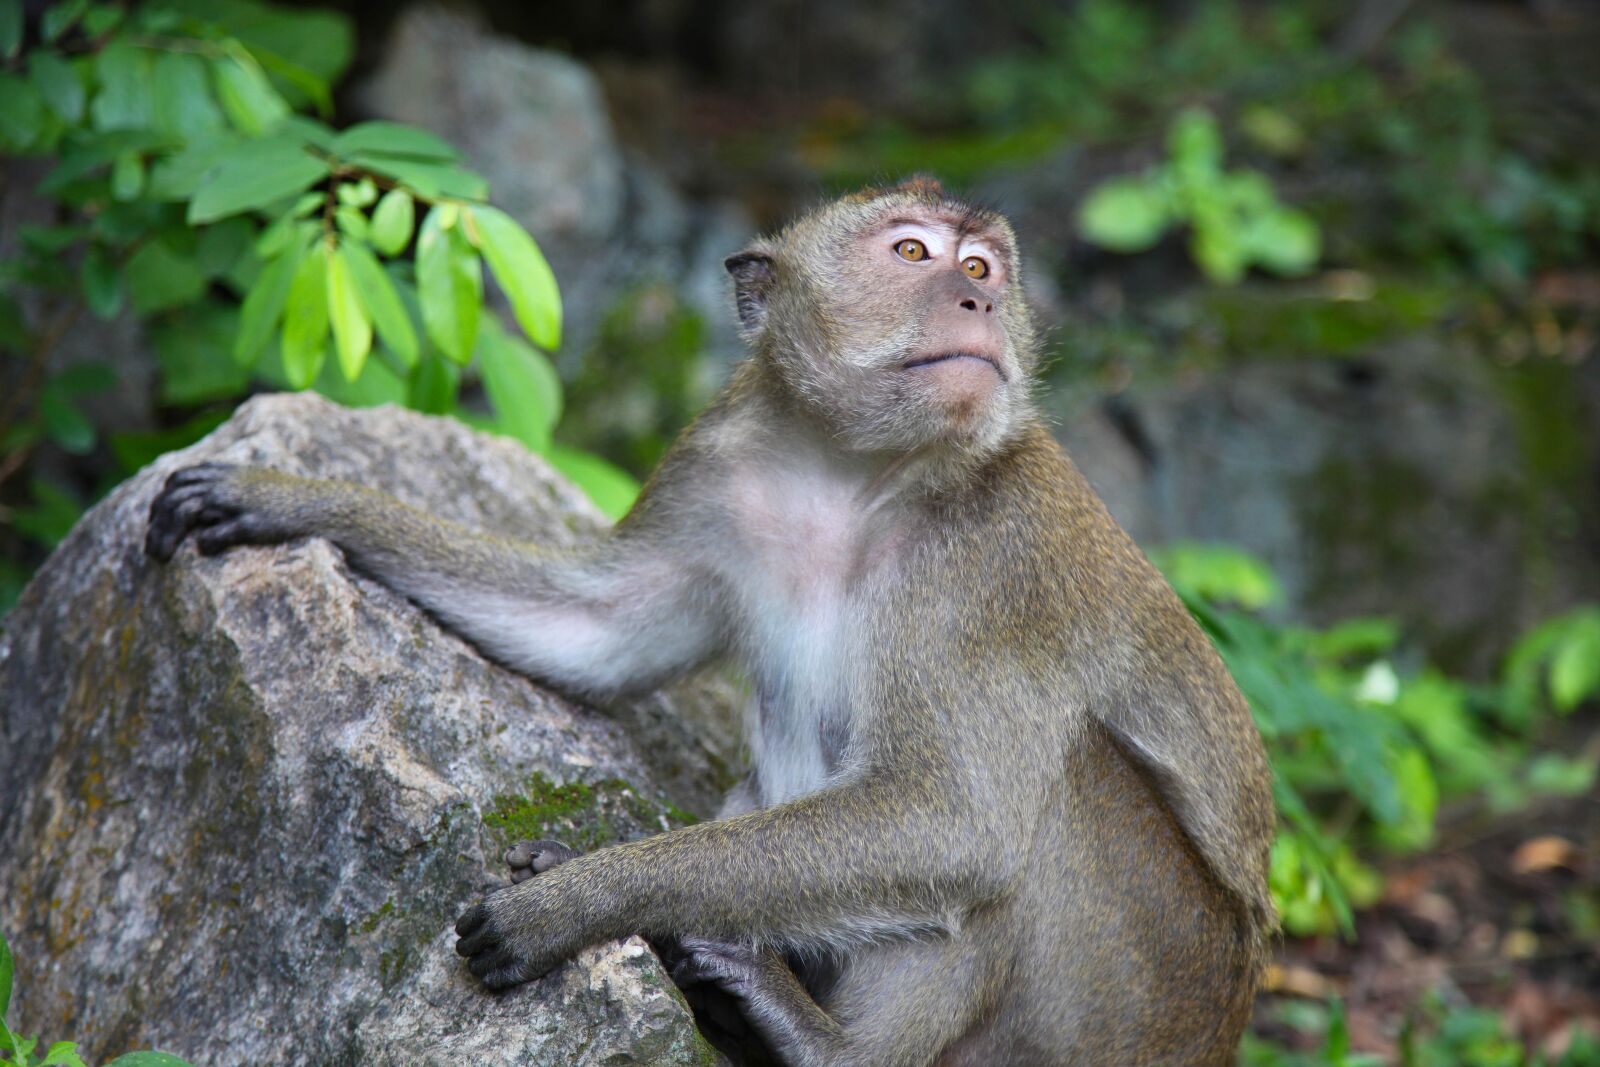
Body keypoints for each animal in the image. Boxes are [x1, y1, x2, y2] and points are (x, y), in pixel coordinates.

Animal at [146, 176, 1276, 1067]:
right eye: (913, 253)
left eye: (983, 266)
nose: (975, 298)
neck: (854, 475)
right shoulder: (719, 468)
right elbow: (597, 629)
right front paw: (290, 498)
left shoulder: (999, 567)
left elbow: (956, 819)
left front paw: (578, 899)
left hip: (1128, 1000)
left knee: (1056, 785)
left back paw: (822, 1041)